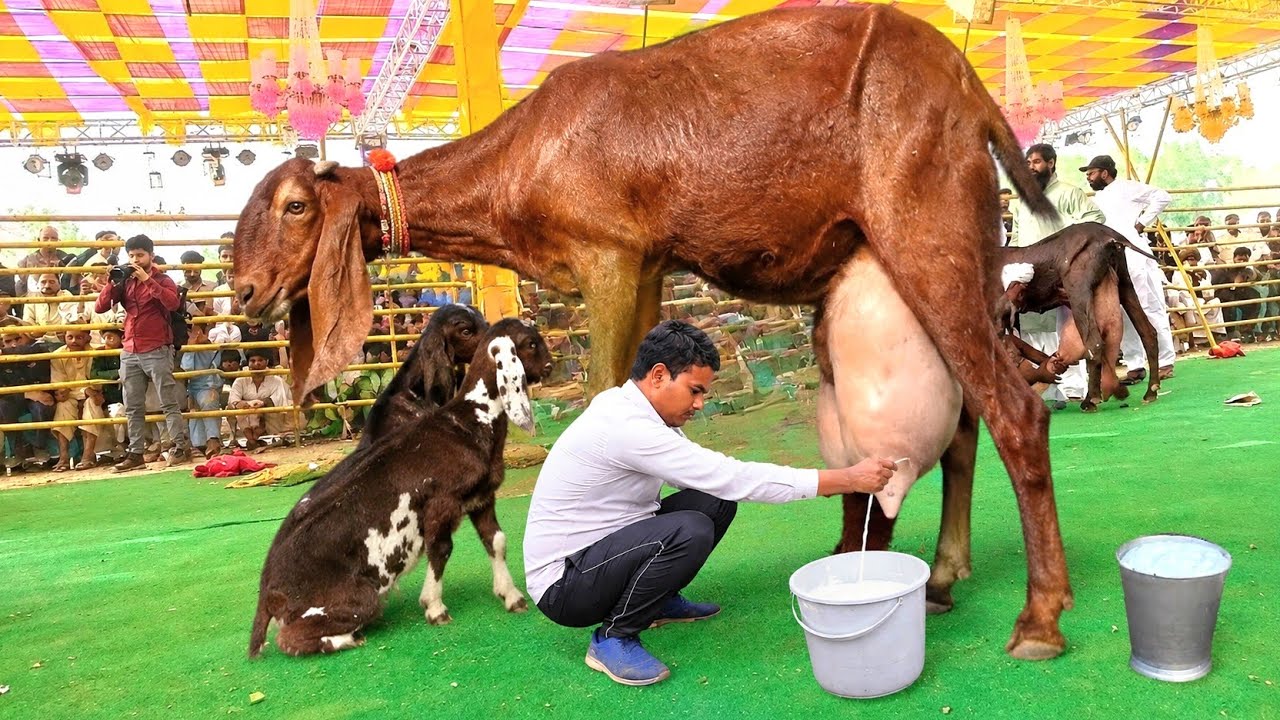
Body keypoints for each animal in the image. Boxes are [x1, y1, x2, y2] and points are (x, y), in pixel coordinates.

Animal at [248, 319, 554, 657]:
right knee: (290, 639)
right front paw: (434, 608)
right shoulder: (442, 502)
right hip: (359, 599)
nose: (550, 367)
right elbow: (441, 549)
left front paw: (511, 597)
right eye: (530, 343)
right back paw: (347, 638)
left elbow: (496, 541)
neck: (470, 421)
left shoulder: (481, 498)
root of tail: (267, 595)